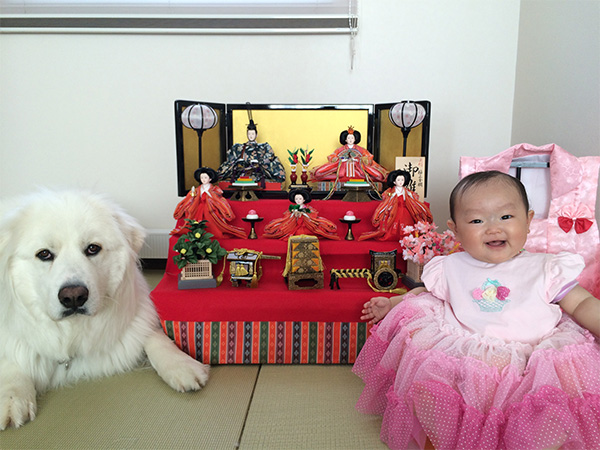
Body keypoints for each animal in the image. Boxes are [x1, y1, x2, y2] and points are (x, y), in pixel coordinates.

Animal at [0, 190, 210, 428]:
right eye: (44, 254)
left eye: (93, 248)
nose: (74, 297)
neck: (72, 332)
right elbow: (11, 360)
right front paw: (12, 396)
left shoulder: (137, 314)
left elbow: (154, 336)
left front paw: (182, 364)